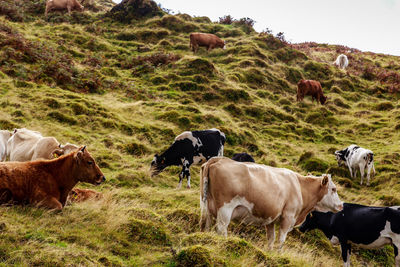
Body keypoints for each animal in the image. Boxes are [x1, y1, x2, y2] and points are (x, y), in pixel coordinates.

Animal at [198, 157, 342, 249]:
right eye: (333, 189)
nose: (341, 205)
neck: (301, 188)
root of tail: (219, 159)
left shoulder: (271, 219)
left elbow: (271, 239)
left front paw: (270, 253)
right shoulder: (288, 217)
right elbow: (281, 240)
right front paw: (278, 254)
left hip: (207, 205)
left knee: (206, 224)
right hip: (225, 208)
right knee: (221, 229)